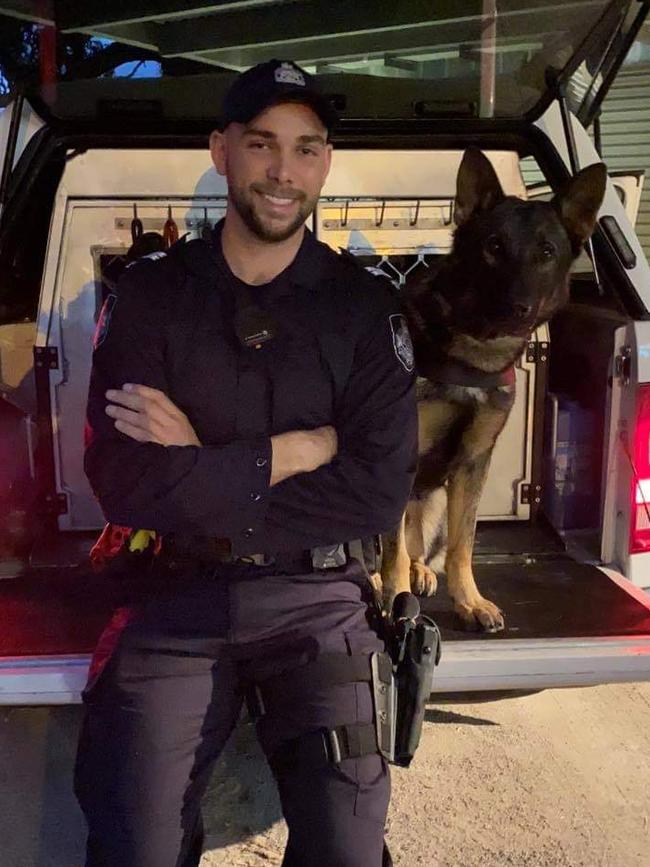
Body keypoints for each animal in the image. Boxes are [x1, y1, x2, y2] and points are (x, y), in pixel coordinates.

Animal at [378, 151, 604, 632]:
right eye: (494, 247)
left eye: (547, 252)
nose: (516, 309)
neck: (471, 353)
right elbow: (390, 549)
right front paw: (394, 600)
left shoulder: (473, 462)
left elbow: (463, 544)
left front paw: (469, 601)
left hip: (437, 501)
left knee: (422, 545)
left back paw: (421, 571)